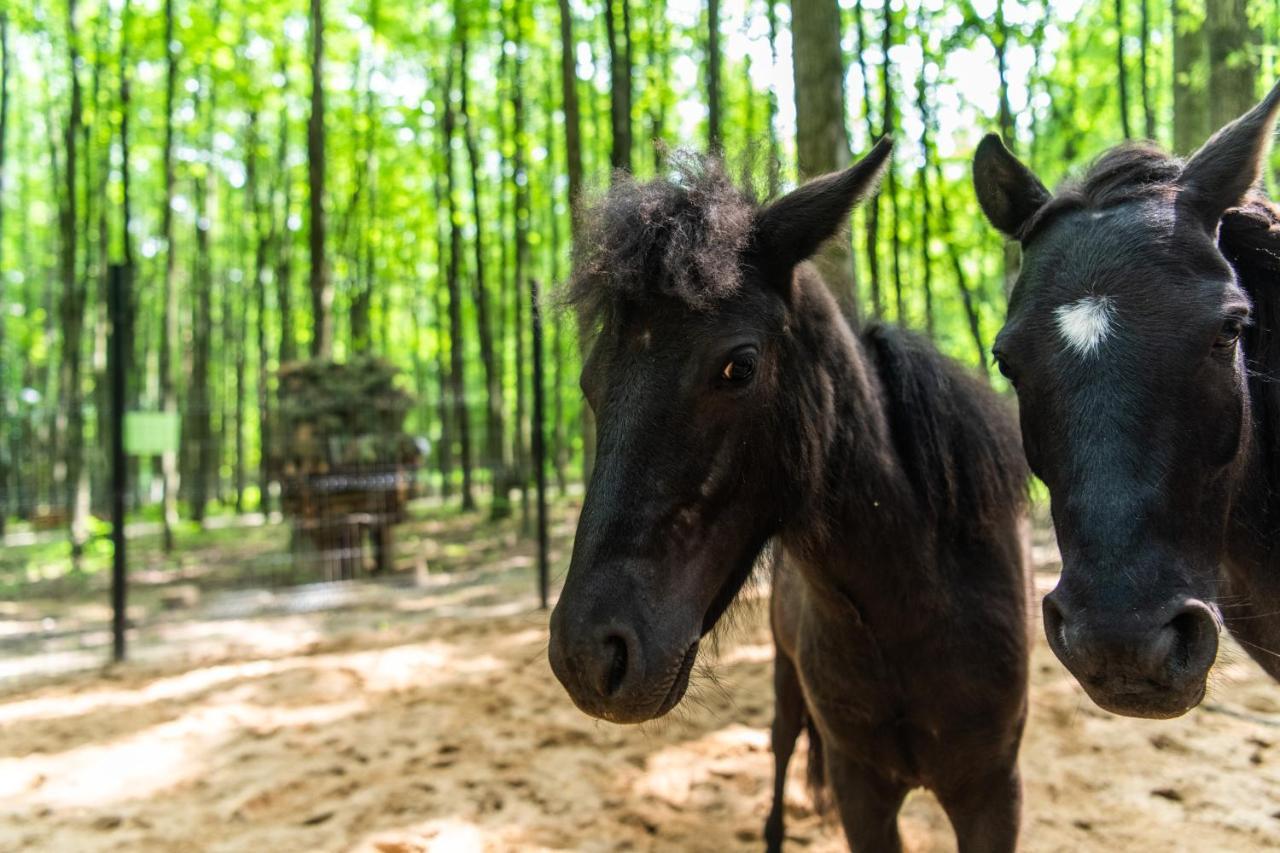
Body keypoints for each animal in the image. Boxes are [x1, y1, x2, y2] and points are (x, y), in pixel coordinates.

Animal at [547, 142, 1029, 845]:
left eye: (739, 365)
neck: (920, 602)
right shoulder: (863, 792)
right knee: (779, 746)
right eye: (590, 381)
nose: (588, 655)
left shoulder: (992, 795)